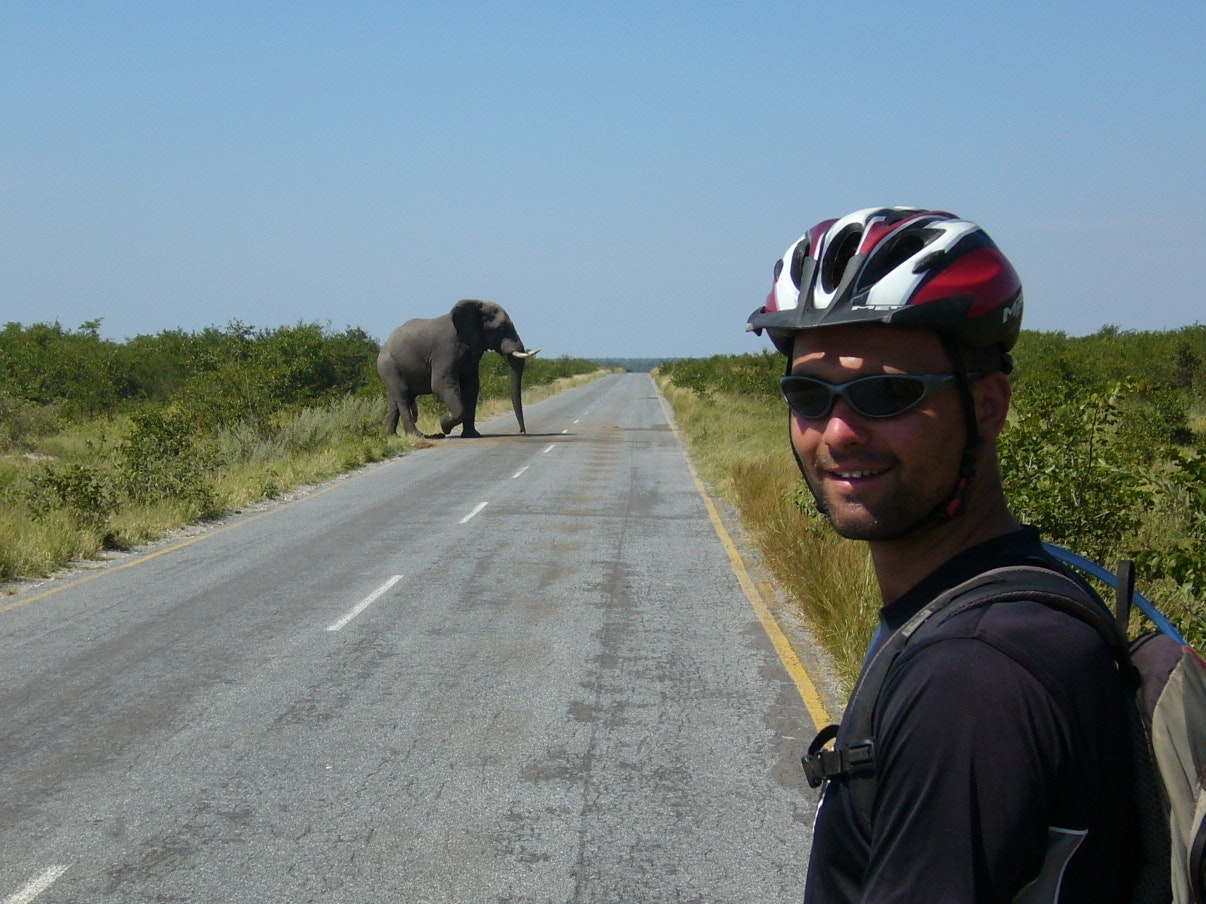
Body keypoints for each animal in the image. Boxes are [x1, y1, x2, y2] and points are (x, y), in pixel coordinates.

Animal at [373, 301, 540, 438]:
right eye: (501, 328)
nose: (522, 431)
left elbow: (472, 386)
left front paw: (472, 435)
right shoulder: (445, 350)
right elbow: (440, 384)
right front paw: (443, 424)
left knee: (394, 399)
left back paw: (392, 437)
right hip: (388, 365)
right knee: (402, 395)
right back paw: (417, 435)